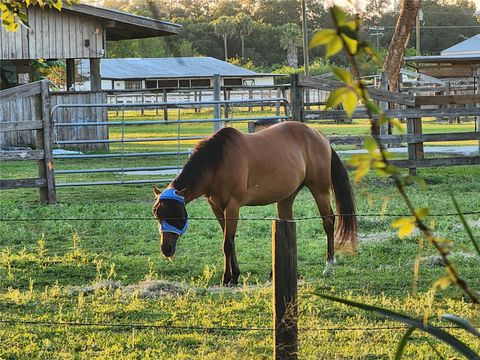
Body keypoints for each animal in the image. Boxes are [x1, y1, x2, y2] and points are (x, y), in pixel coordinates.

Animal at [153, 122, 356, 286]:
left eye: (177, 214)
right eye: (157, 215)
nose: (166, 249)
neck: (218, 162)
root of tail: (320, 136)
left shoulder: (232, 206)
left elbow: (227, 243)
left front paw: (227, 278)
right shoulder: (217, 209)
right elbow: (229, 241)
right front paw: (235, 275)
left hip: (319, 190)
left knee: (328, 222)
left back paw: (329, 266)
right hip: (286, 197)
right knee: (289, 223)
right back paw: (277, 272)